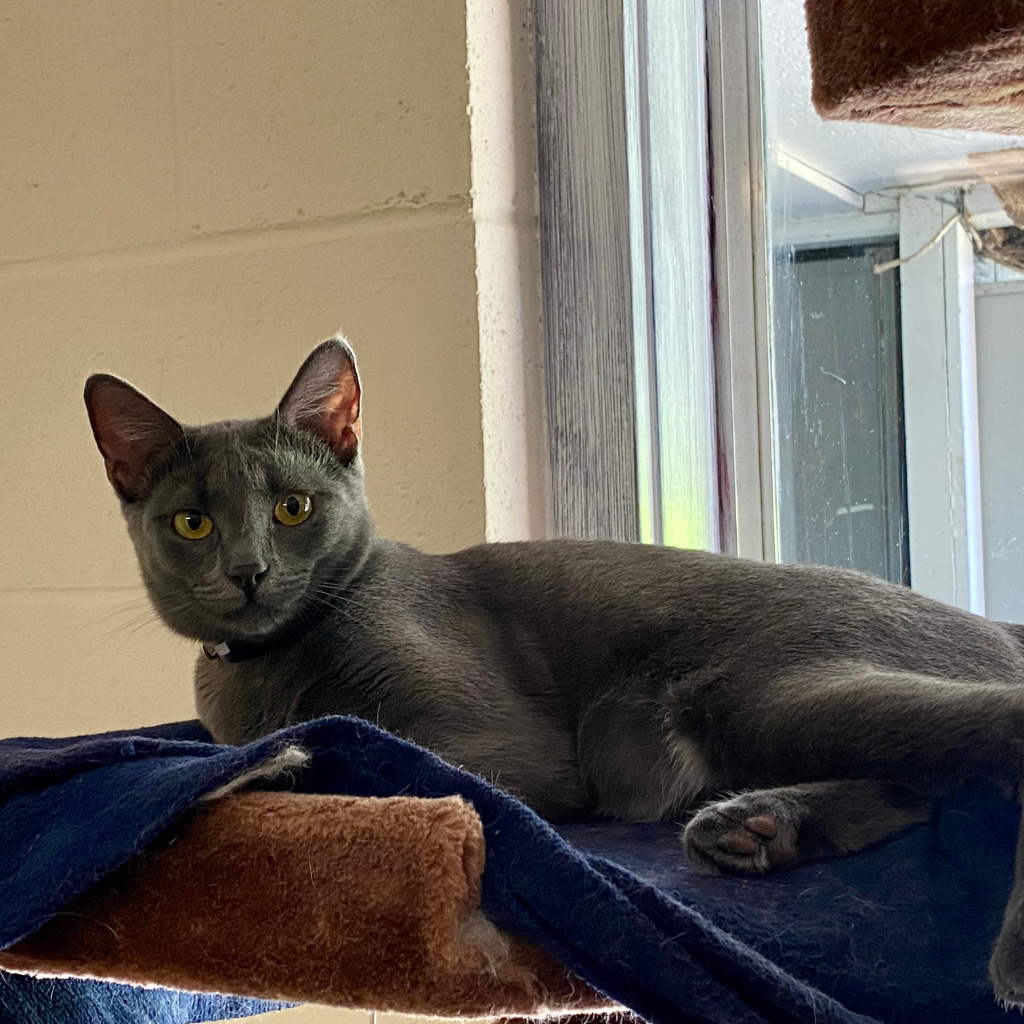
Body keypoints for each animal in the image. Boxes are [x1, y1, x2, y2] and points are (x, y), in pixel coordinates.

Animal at [86, 333, 1024, 999]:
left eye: (291, 508)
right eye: (193, 523)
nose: (247, 571)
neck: (268, 668)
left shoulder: (497, 747)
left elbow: (354, 756)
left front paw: (267, 763)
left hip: (769, 690)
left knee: (991, 733)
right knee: (922, 783)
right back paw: (757, 828)